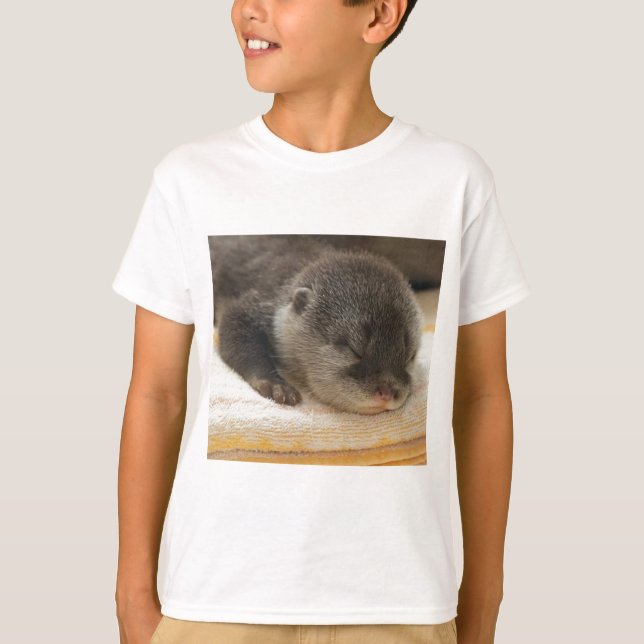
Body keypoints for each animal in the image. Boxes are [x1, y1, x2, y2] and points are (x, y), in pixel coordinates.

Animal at [209, 235, 435, 415]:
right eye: (354, 350)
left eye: (409, 356)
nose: (387, 392)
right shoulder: (256, 302)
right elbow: (233, 328)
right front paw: (275, 385)